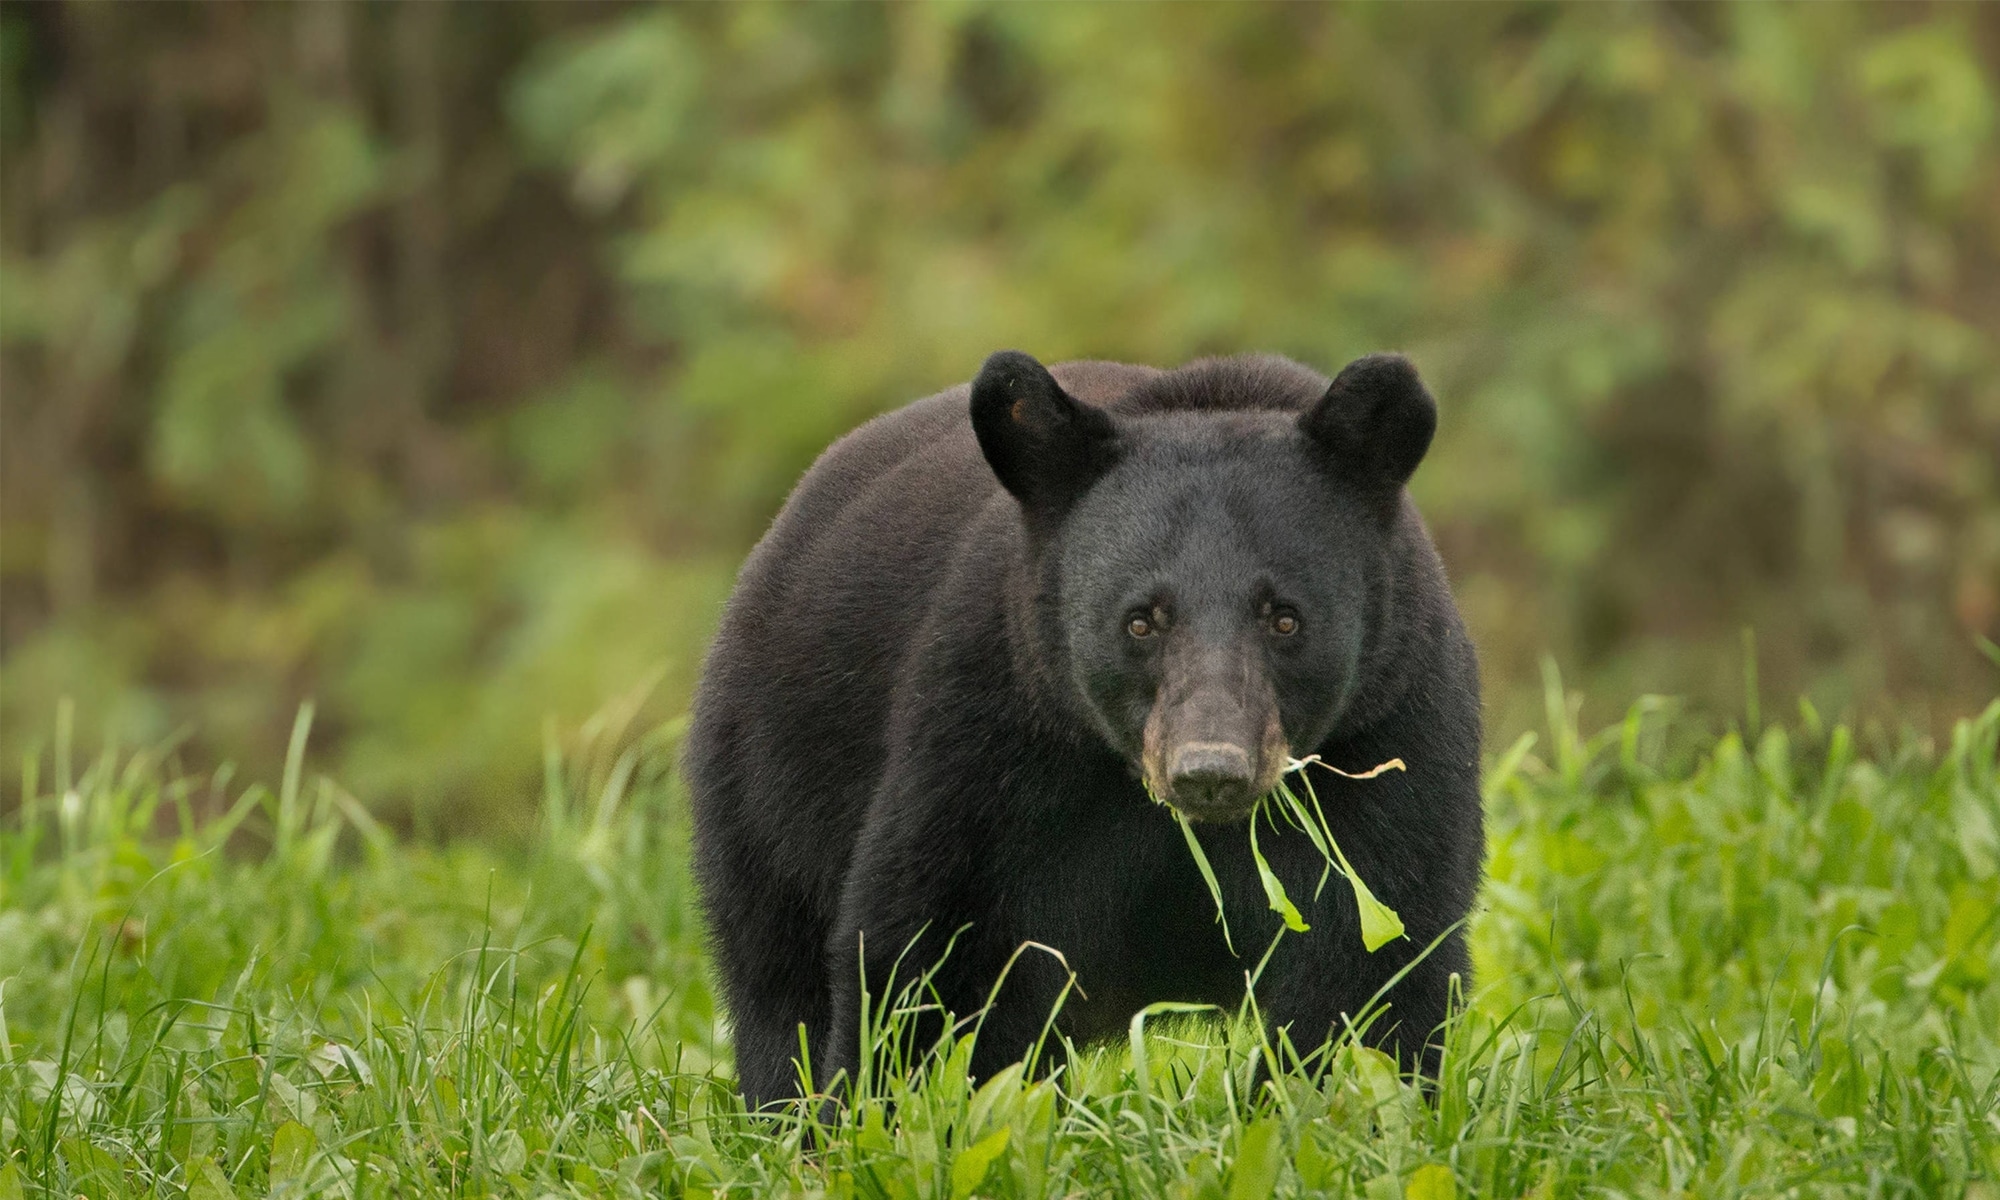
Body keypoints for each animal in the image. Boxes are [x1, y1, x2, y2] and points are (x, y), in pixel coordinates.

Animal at [684, 350, 1483, 1109]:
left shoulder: (1391, 735)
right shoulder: (991, 739)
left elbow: (1368, 962)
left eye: (1284, 618)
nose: (1210, 771)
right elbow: (935, 956)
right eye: (1141, 620)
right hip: (769, 780)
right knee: (776, 982)